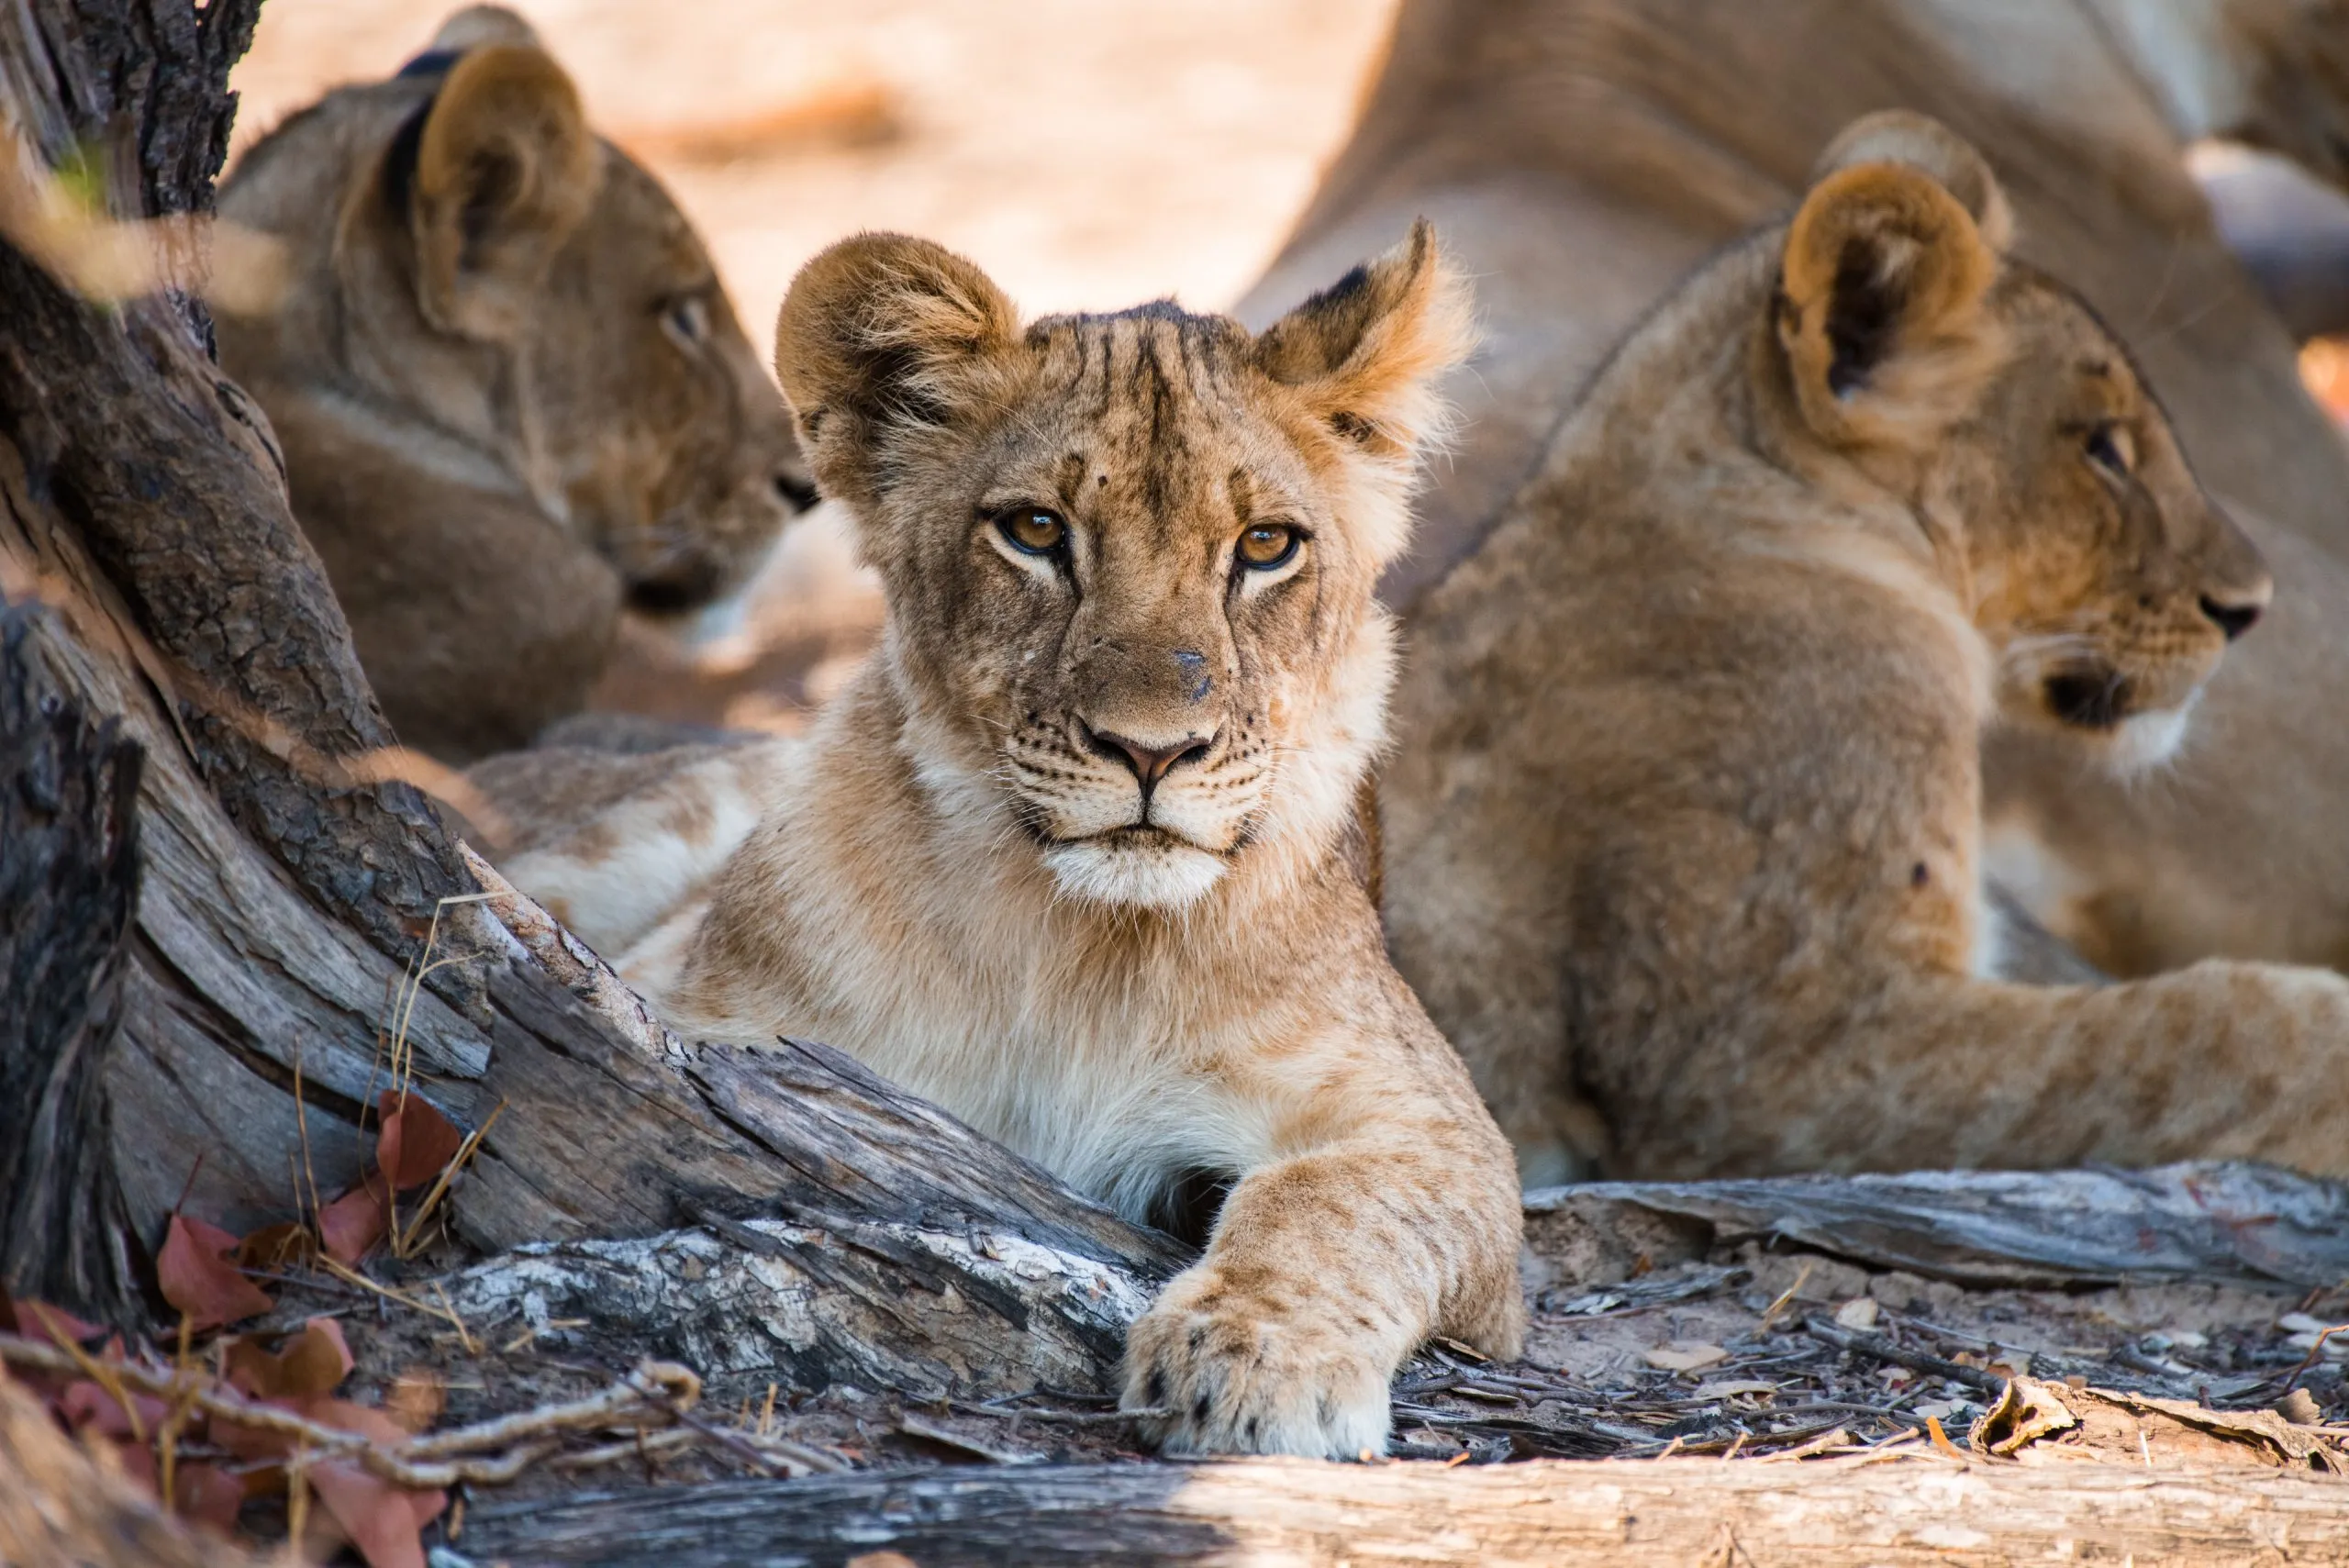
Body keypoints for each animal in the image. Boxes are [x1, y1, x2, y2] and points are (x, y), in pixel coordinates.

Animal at [466, 223, 1526, 1459]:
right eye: (1034, 531)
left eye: (1265, 545)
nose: (1152, 751)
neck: (1074, 946)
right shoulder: (709, 1027)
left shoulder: (1436, 1127)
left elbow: (1332, 1200)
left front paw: (1254, 1360)